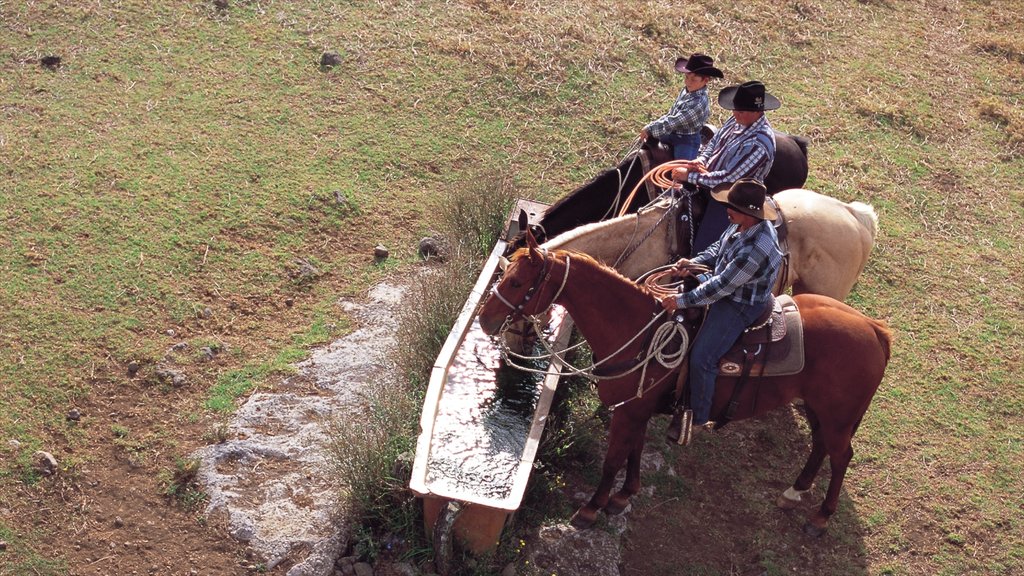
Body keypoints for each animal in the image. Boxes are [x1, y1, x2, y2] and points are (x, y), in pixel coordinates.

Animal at [477, 231, 888, 532]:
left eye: (517, 282)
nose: (484, 319)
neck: (639, 331)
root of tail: (873, 328)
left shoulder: (628, 413)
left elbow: (613, 459)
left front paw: (592, 508)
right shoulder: (638, 409)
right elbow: (634, 451)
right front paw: (624, 496)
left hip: (838, 417)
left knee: (841, 456)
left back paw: (820, 517)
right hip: (820, 409)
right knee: (820, 447)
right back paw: (794, 491)